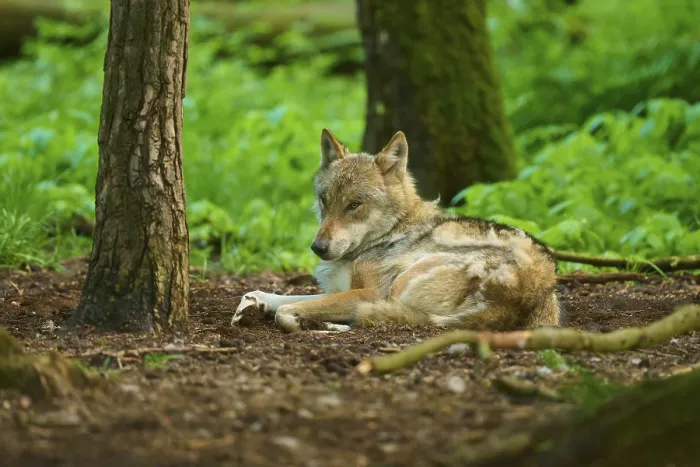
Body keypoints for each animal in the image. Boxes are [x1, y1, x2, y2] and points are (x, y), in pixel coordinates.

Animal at [231, 128, 562, 333]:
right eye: (324, 200)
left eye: (354, 205)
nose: (318, 247)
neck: (389, 231)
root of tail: (533, 290)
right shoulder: (339, 288)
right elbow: (281, 297)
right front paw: (253, 302)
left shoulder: (366, 291)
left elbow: (289, 309)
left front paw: (294, 321)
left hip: (402, 284)